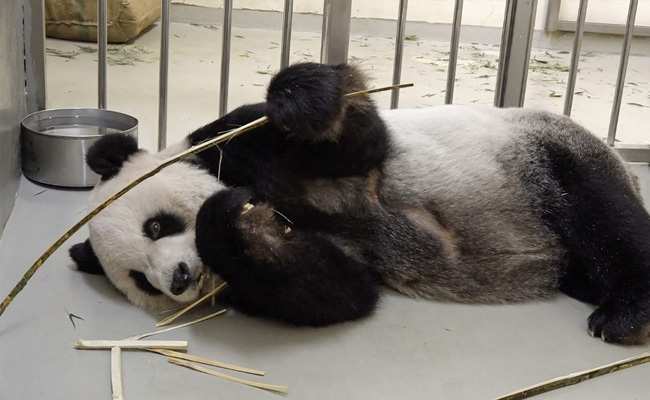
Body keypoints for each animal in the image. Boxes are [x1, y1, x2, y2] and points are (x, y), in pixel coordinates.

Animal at [69, 62, 650, 345]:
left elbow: (357, 141)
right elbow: (337, 289)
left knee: (607, 216)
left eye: (157, 226)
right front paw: (237, 229)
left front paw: (299, 97)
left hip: (546, 155)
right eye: (141, 281)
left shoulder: (236, 143)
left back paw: (622, 312)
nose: (180, 279)